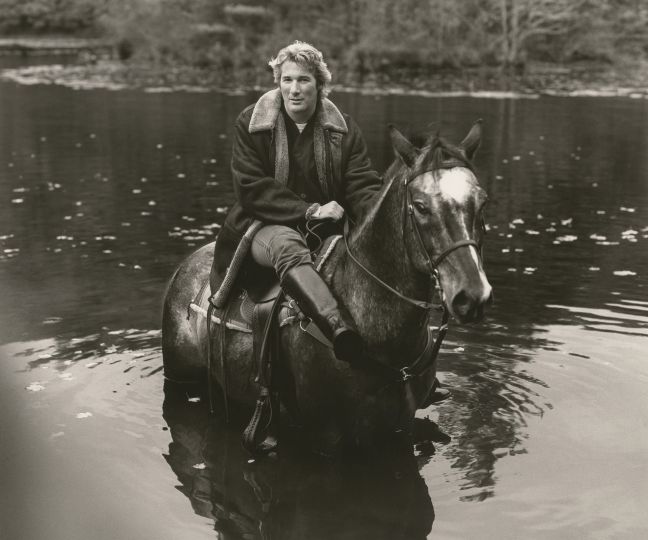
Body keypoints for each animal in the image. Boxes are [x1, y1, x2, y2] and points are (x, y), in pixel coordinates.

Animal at [162, 121, 492, 452]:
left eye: (482, 201)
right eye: (421, 207)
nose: (473, 296)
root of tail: (186, 263)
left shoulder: (400, 429)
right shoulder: (327, 438)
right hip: (179, 380)